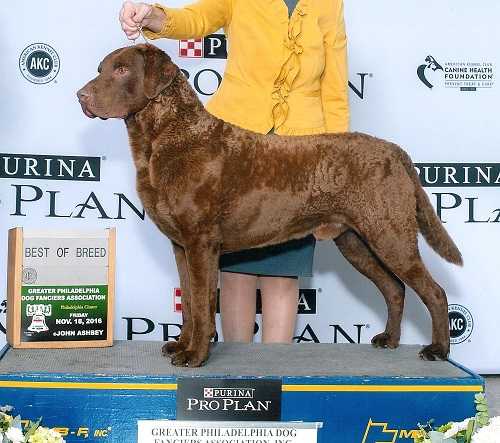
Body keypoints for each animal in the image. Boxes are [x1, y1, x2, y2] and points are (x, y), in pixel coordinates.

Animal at [76, 44, 462, 368]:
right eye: (100, 68)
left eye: (122, 69)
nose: (81, 95)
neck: (167, 139)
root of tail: (396, 152)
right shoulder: (180, 245)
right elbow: (188, 303)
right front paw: (182, 345)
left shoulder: (201, 242)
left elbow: (202, 303)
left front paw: (196, 355)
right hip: (355, 241)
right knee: (395, 288)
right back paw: (390, 340)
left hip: (389, 234)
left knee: (434, 291)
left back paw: (438, 349)